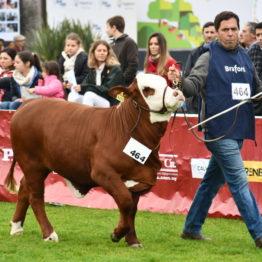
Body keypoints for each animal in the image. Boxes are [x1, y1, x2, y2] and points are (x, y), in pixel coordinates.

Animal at [4, 72, 184, 247]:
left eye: (167, 83)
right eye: (147, 89)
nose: (177, 93)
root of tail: (28, 104)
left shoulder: (137, 177)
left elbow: (132, 210)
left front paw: (133, 240)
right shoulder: (104, 172)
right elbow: (125, 202)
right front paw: (117, 234)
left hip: (37, 166)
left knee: (24, 188)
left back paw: (17, 227)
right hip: (32, 163)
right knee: (36, 196)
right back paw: (49, 234)